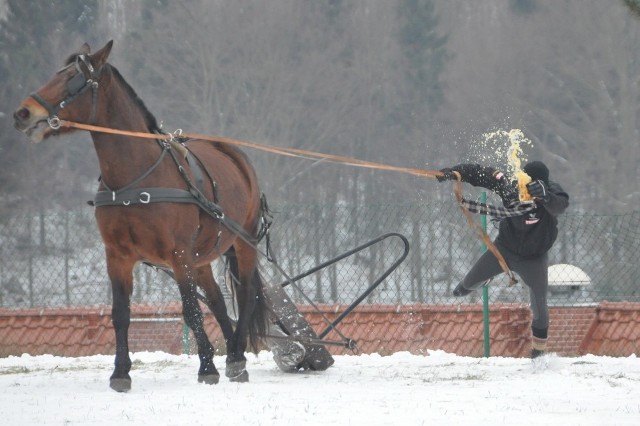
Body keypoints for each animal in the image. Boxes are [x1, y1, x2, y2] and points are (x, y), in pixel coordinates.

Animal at [13, 41, 268, 392]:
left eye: (72, 80)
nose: (23, 113)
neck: (135, 178)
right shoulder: (118, 256)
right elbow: (121, 313)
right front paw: (120, 373)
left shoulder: (178, 254)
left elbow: (190, 310)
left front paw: (206, 367)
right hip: (201, 256)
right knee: (217, 299)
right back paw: (232, 353)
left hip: (242, 243)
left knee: (245, 294)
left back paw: (237, 357)